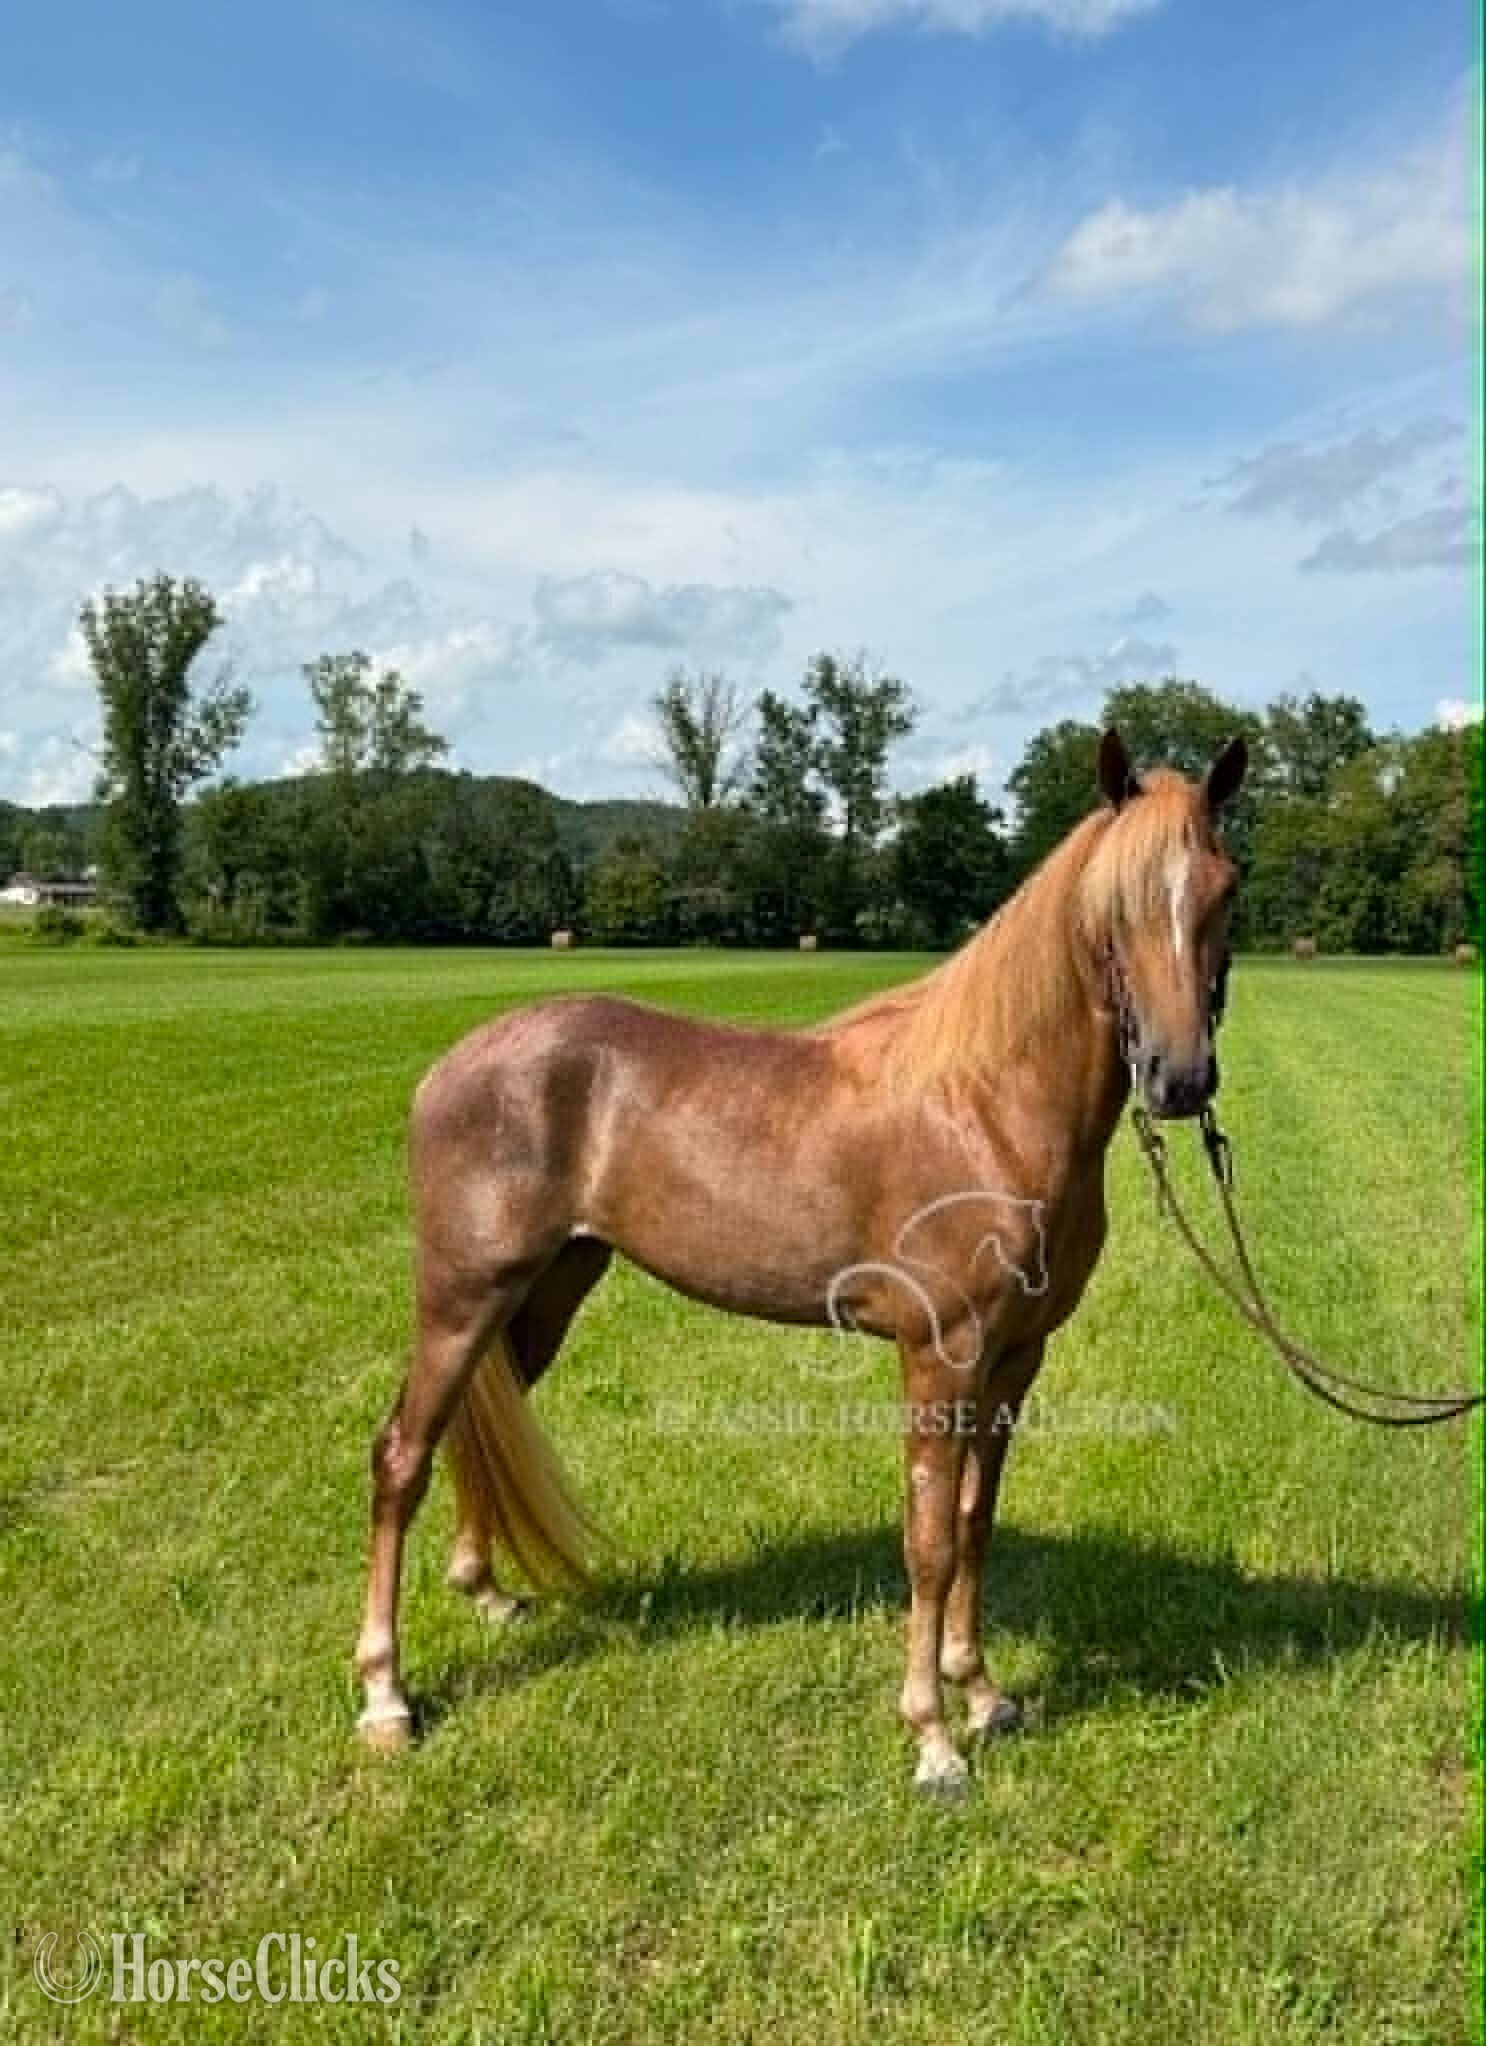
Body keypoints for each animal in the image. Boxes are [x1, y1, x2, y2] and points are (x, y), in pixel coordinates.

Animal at [355, 727, 1248, 1795]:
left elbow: (977, 1525)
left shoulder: (1015, 1359)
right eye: (1114, 905)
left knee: (467, 1430)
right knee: (400, 1455)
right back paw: (386, 1698)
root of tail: (451, 1067)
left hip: (544, 1293)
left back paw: (487, 1595)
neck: (985, 1103)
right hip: (462, 1293)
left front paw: (983, 1695)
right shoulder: (939, 1357)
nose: (1178, 1079)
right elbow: (930, 1539)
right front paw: (933, 1738)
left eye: (1225, 888)